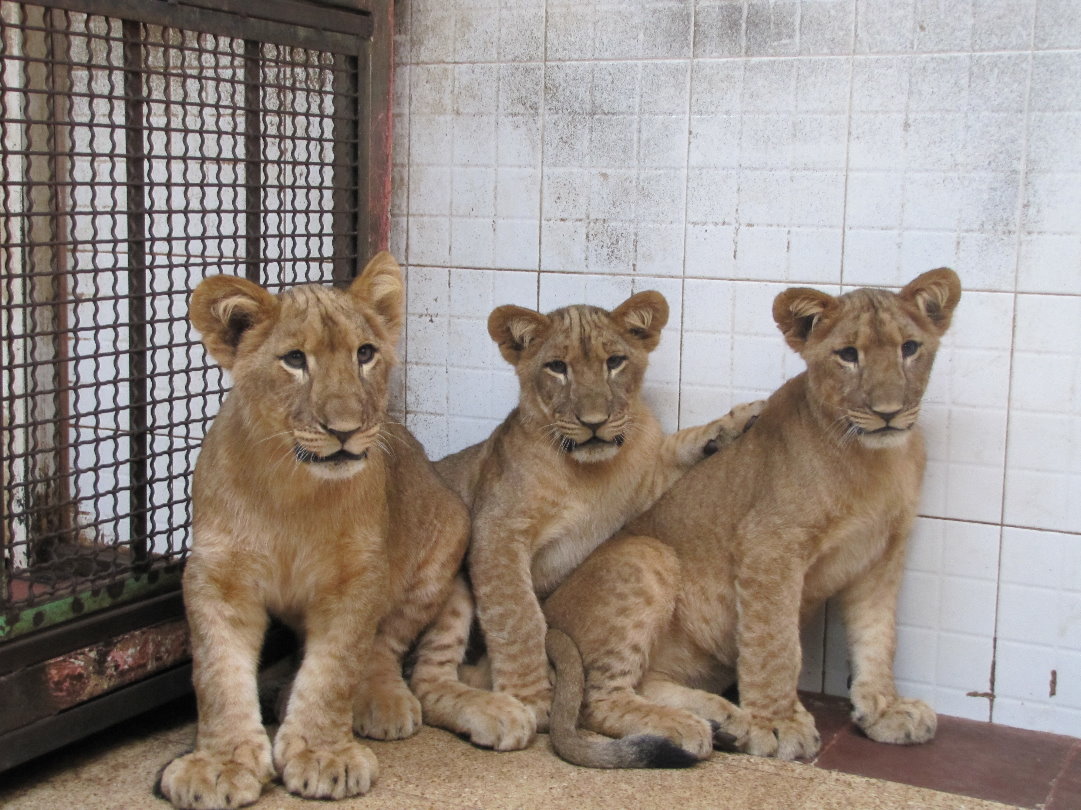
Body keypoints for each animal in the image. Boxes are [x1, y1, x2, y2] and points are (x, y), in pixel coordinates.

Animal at [159, 253, 469, 809]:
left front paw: (324, 756)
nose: (344, 430)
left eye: (365, 353)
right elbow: (217, 674)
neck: (293, 490)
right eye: (294, 360)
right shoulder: (216, 578)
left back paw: (381, 702)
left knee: (385, 644)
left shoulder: (356, 580)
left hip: (442, 546)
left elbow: (335, 670)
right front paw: (220, 764)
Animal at [408, 291, 762, 753]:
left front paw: (737, 423)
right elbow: (517, 616)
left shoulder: (647, 483)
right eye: (557, 367)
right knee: (423, 680)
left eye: (615, 362)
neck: (588, 475)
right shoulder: (496, 529)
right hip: (449, 557)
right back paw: (500, 713)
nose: (593, 423)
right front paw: (532, 697)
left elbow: (681, 447)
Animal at [543, 268, 962, 768]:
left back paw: (722, 720)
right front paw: (777, 726)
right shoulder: (769, 545)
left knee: (645, 683)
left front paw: (884, 709)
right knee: (596, 699)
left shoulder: (881, 556)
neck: (875, 460)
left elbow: (879, 636)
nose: (888, 413)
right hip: (645, 555)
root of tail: (548, 613)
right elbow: (775, 642)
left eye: (910, 348)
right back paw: (687, 729)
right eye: (847, 355)